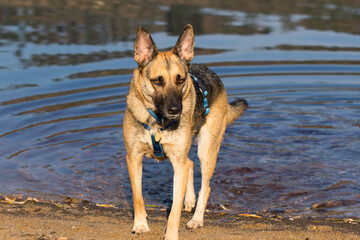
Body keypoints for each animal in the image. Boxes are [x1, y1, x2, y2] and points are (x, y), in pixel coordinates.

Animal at [122, 23, 246, 239]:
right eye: (157, 81)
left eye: (180, 80)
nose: (175, 110)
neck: (157, 121)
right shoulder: (133, 158)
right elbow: (138, 196)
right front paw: (140, 225)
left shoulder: (177, 164)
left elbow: (174, 210)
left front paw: (171, 234)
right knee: (190, 163)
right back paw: (189, 201)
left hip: (207, 150)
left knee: (205, 185)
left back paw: (196, 219)